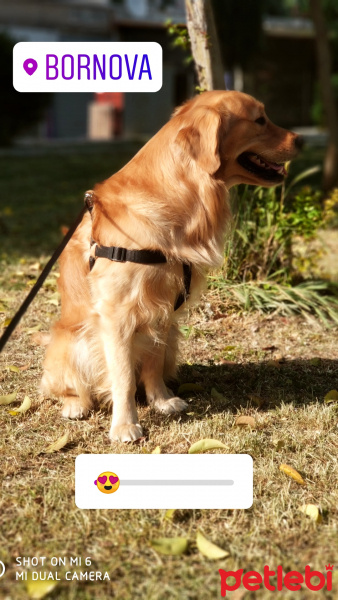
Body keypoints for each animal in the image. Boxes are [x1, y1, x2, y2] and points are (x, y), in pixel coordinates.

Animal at [41, 91, 302, 442]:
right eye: (260, 120)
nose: (301, 140)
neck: (182, 193)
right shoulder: (116, 314)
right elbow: (122, 377)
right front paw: (125, 425)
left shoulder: (162, 310)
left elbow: (151, 363)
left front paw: (161, 401)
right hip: (73, 343)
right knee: (68, 386)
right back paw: (75, 404)